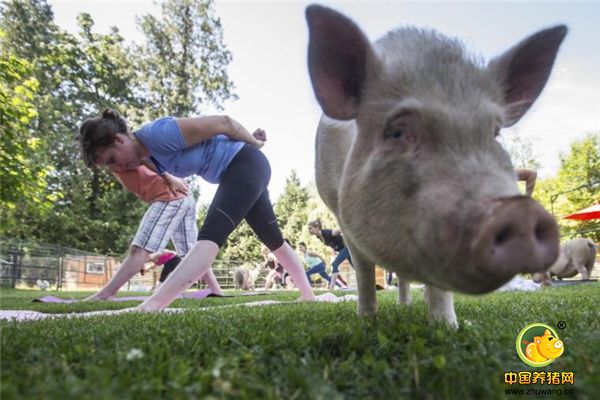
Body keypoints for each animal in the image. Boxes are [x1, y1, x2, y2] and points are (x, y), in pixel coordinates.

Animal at [308, 3, 564, 328]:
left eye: (495, 132)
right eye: (397, 132)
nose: (519, 212)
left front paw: (446, 326)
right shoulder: (342, 219)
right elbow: (363, 270)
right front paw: (366, 320)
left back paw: (406, 305)